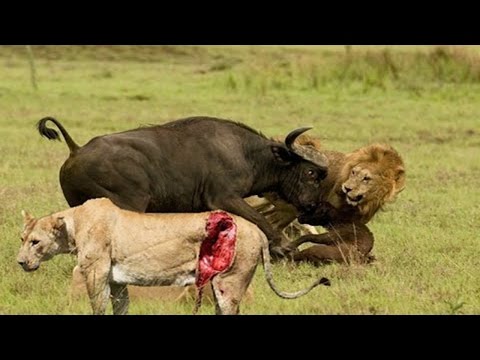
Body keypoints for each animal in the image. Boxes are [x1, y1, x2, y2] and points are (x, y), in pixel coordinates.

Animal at [15, 198, 330, 314]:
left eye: (35, 242)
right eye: (22, 239)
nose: (19, 261)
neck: (75, 223)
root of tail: (259, 231)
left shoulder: (95, 273)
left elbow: (98, 308)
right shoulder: (116, 280)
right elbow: (120, 307)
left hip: (229, 280)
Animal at [37, 116, 328, 255]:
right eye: (311, 172)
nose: (313, 207)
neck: (247, 153)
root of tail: (77, 150)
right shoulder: (225, 198)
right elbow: (261, 221)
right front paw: (283, 247)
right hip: (130, 206)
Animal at [244, 139, 404, 266]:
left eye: (366, 178)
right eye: (354, 172)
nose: (347, 188)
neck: (362, 204)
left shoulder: (354, 223)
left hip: (285, 210)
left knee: (271, 224)